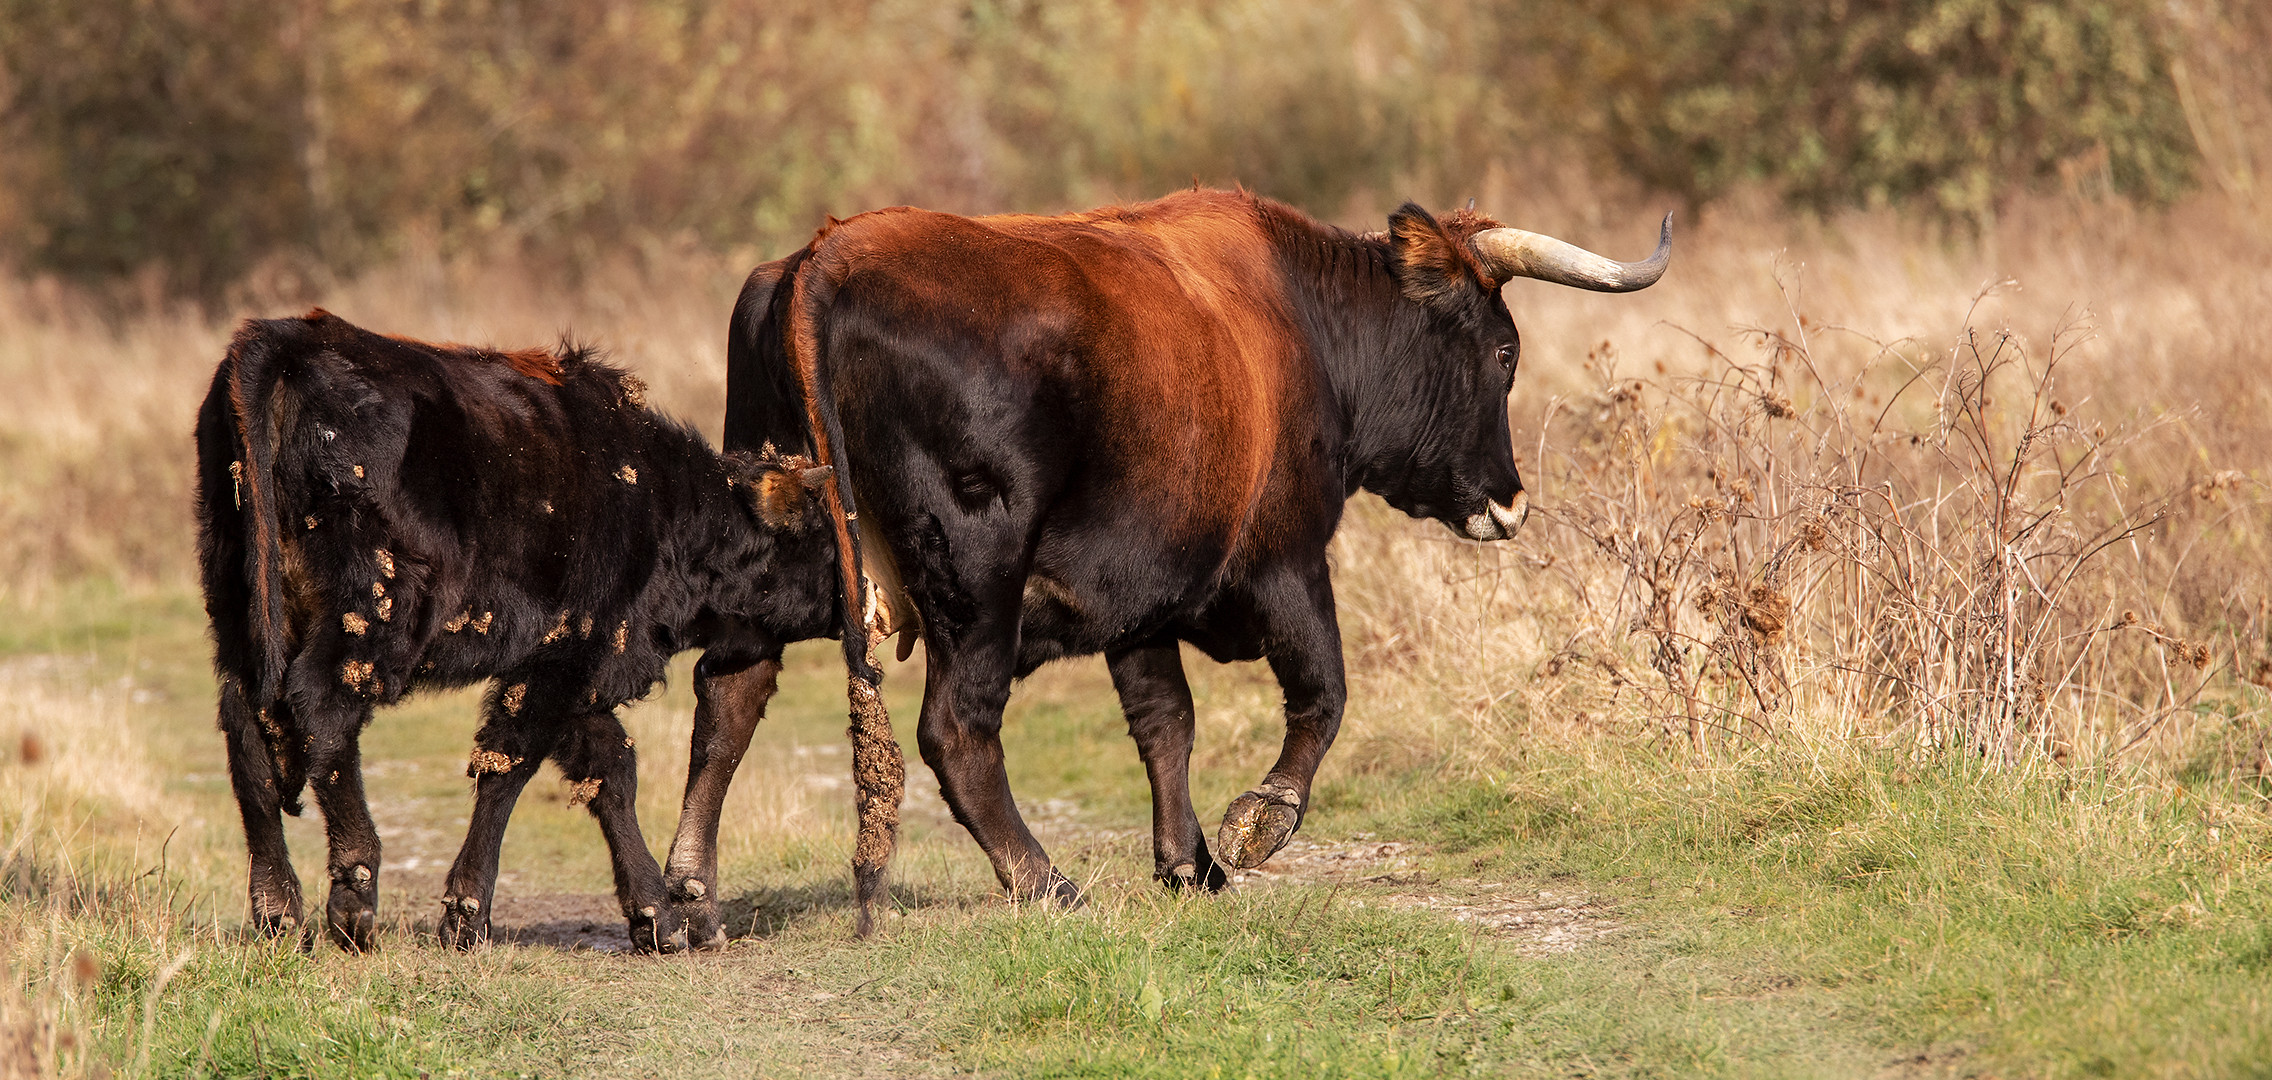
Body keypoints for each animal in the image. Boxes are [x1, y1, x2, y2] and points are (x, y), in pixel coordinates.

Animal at [190, 309, 849, 950]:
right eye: (823, 536)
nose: (856, 601)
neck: (662, 500)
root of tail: (285, 343)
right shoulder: (563, 655)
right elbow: (511, 763)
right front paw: (466, 916)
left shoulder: (572, 674)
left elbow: (608, 770)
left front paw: (656, 918)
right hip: (370, 622)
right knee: (323, 714)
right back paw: (354, 901)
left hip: (241, 620)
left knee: (247, 735)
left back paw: (278, 914)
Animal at [658, 186, 1672, 932]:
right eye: (1502, 351)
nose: (1509, 502)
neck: (1304, 326)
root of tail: (828, 256)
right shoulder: (1286, 561)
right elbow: (1323, 693)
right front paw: (1257, 824)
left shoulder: (1136, 598)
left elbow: (1165, 724)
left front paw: (1188, 861)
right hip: (977, 577)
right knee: (956, 728)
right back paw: (1045, 882)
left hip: (775, 565)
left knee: (730, 695)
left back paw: (687, 895)